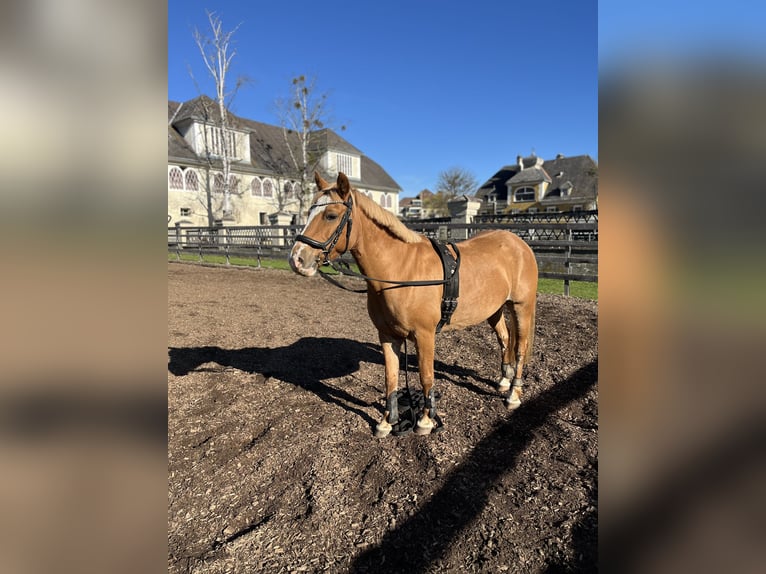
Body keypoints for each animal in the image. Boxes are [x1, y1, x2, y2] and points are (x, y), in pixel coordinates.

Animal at [290, 173, 540, 438]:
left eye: (331, 215)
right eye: (309, 212)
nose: (297, 259)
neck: (400, 270)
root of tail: (519, 243)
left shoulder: (424, 335)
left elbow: (426, 377)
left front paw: (425, 420)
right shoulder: (388, 335)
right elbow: (390, 378)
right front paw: (386, 422)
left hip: (521, 307)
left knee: (520, 348)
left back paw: (513, 394)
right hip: (495, 309)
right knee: (505, 339)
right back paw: (504, 381)